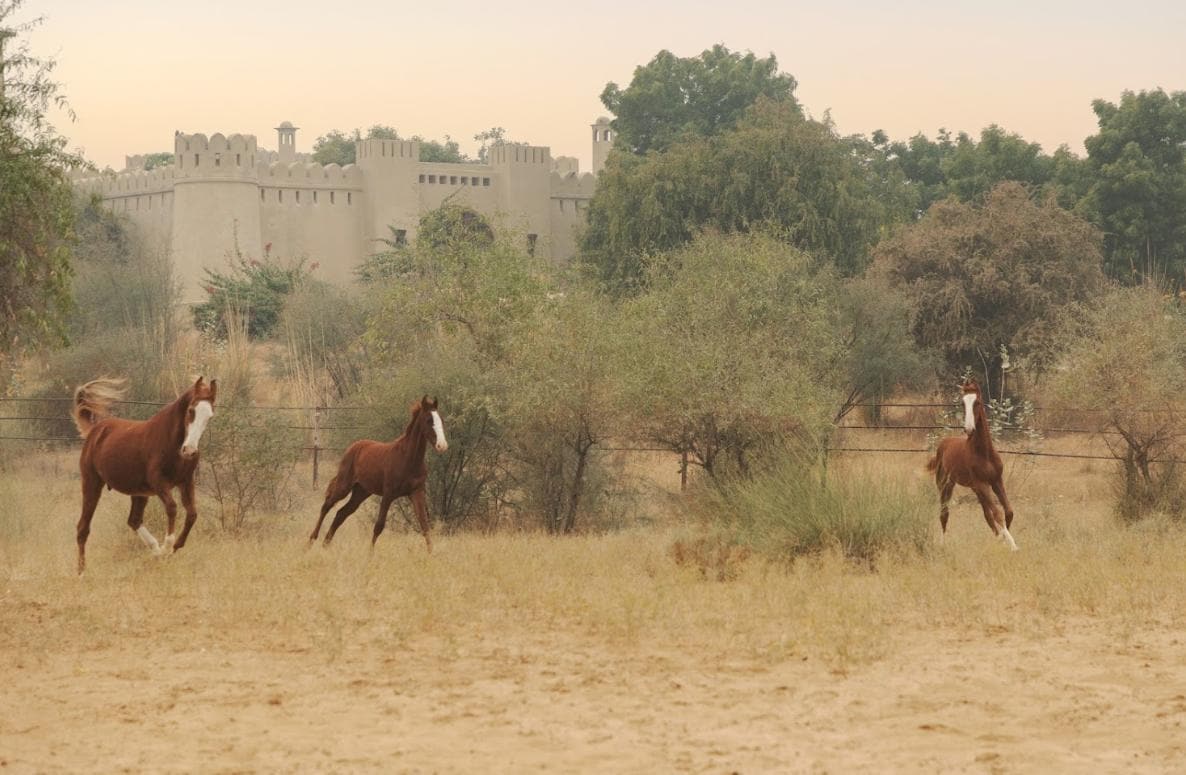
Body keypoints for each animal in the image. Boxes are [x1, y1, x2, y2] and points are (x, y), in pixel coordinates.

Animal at [72, 376, 218, 574]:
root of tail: (95, 430)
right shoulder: (159, 483)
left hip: (139, 493)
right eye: (191, 410)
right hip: (91, 483)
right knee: (83, 528)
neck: (171, 444)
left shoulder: (186, 482)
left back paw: (156, 552)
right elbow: (172, 508)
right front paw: (168, 547)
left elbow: (192, 514)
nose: (189, 451)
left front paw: (174, 547)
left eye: (210, 416)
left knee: (133, 520)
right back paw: (81, 573)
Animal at [309, 395, 448, 551]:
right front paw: (370, 553)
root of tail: (353, 447)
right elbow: (379, 526)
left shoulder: (416, 492)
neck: (409, 459)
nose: (442, 445)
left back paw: (325, 544)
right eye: (428, 420)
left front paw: (431, 553)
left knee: (341, 513)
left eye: (441, 419)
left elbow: (424, 525)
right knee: (326, 506)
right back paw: (311, 541)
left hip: (361, 492)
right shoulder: (388, 493)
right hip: (344, 486)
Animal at [925, 379, 1018, 551]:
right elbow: (998, 514)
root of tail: (944, 443)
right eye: (963, 403)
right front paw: (1013, 545)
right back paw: (942, 544)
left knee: (987, 515)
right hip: (946, 484)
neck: (984, 453)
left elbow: (1008, 511)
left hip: (976, 489)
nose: (969, 429)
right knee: (944, 513)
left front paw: (1004, 540)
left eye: (977, 402)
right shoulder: (982, 483)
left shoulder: (996, 481)